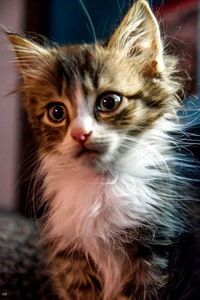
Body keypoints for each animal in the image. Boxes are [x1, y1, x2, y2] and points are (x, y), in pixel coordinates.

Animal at [6, 0, 195, 300]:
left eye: (109, 102)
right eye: (57, 112)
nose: (80, 134)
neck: (101, 185)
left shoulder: (155, 254)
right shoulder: (72, 259)